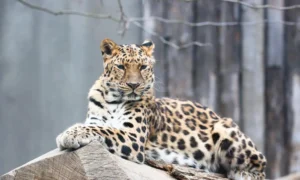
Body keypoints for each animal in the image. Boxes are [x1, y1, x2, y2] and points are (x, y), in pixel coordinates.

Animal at [56, 38, 268, 179]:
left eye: (143, 67)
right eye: (121, 67)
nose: (134, 85)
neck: (113, 100)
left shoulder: (133, 136)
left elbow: (102, 129)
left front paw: (69, 134)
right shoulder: (99, 119)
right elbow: (97, 125)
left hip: (225, 127)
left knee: (261, 164)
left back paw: (243, 174)